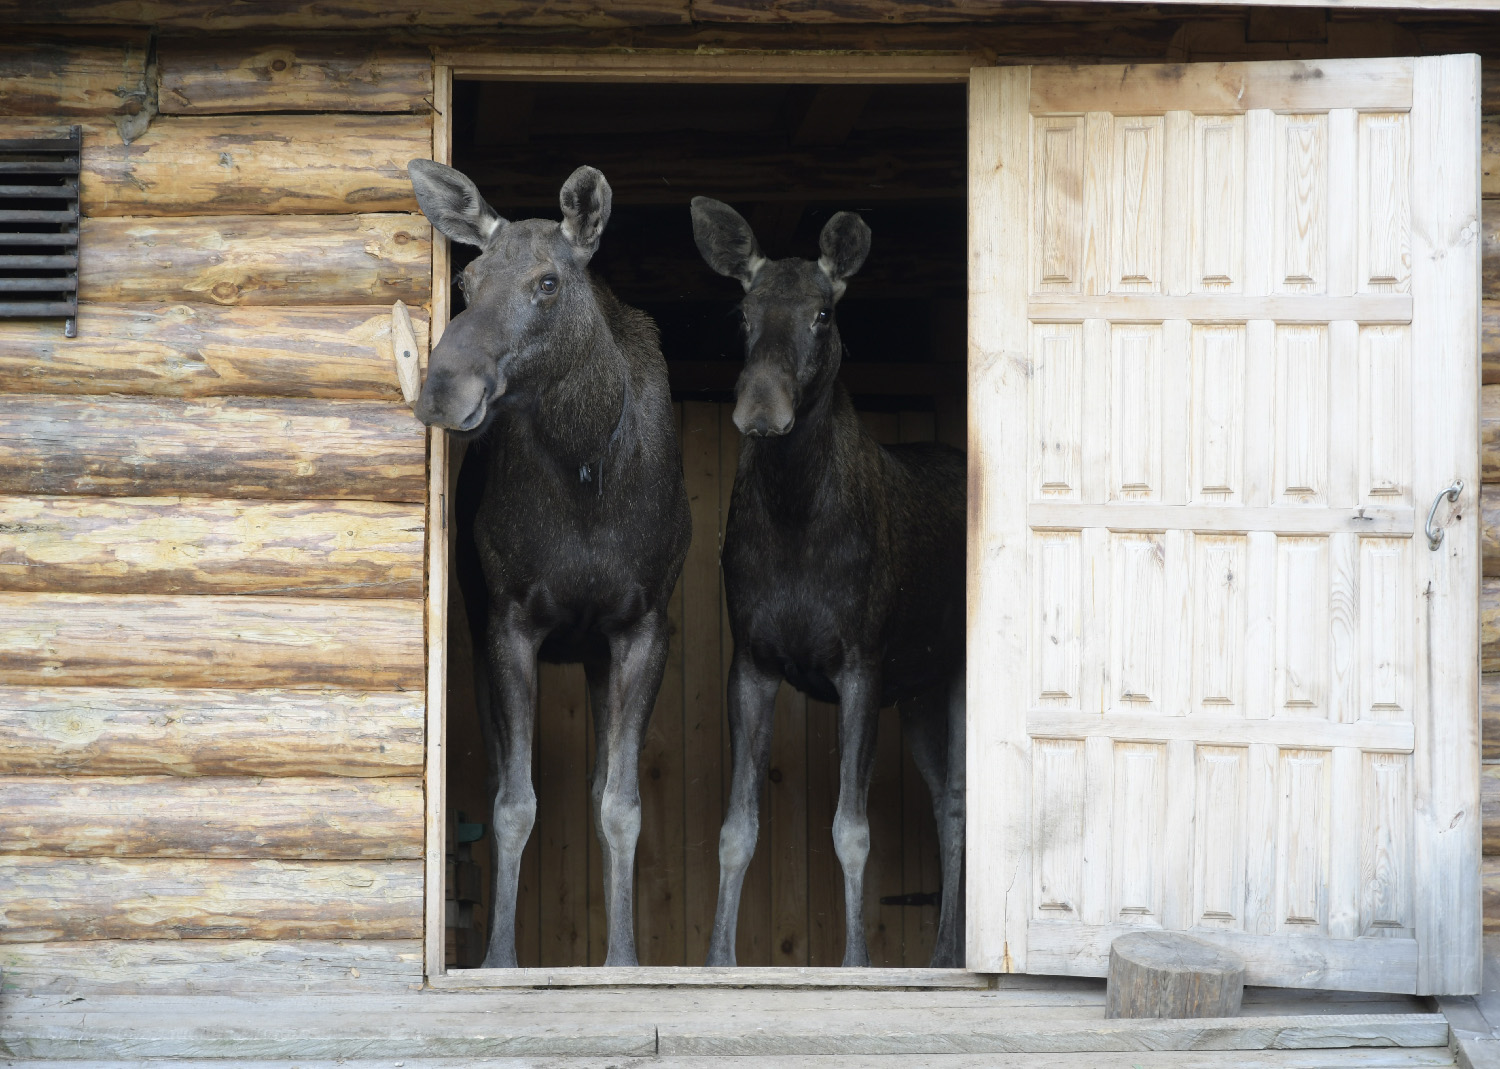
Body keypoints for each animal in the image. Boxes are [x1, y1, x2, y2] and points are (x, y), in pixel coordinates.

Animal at [408, 159, 691, 968]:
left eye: (547, 282)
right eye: (465, 278)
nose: (443, 390)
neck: (586, 468)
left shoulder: (642, 624)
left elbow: (620, 804)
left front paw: (624, 960)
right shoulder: (509, 621)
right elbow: (512, 803)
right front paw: (498, 959)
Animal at [690, 197, 967, 969]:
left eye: (823, 312)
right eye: (743, 311)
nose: (760, 407)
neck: (794, 519)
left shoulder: (860, 662)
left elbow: (852, 830)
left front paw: (857, 964)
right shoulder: (751, 659)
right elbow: (735, 827)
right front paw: (717, 961)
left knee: (960, 799)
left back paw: (944, 956)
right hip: (922, 690)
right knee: (946, 799)